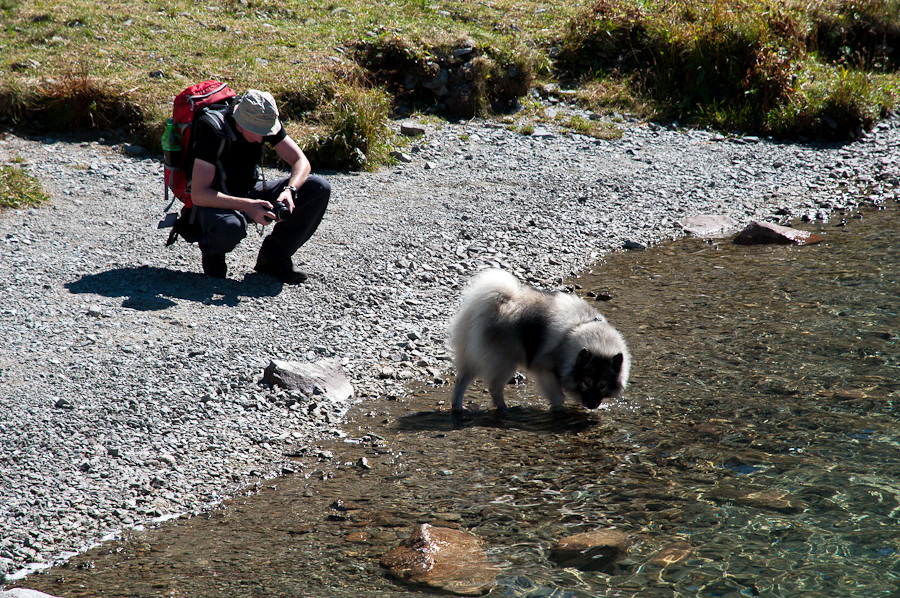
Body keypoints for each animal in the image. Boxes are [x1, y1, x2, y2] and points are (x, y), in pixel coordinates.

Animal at [450, 270, 632, 414]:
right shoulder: (546, 371)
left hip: (471, 357)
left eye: (602, 386)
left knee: (461, 381)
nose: (591, 405)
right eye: (587, 382)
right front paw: (558, 410)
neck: (575, 331)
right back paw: (504, 408)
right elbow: (558, 397)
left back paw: (458, 407)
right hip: (505, 363)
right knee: (494, 387)